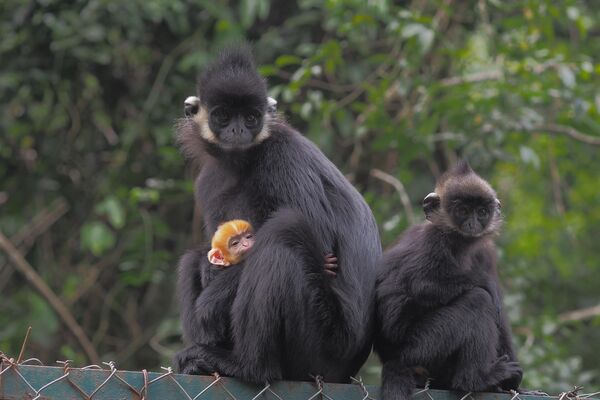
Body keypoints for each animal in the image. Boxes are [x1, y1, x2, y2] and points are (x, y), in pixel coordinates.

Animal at [376, 162, 520, 400]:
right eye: (462, 211)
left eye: (482, 212)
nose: (472, 224)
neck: (460, 244)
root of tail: (391, 358)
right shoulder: (433, 240)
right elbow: (420, 285)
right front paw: (485, 283)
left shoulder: (486, 251)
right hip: (420, 347)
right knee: (478, 299)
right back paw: (476, 379)